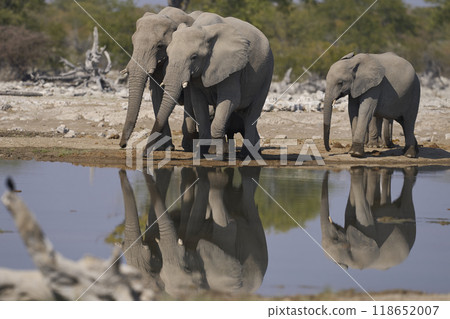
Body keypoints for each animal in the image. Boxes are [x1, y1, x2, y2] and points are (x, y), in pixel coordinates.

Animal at [149, 12, 274, 158]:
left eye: (194, 57)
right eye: (167, 55)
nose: (145, 154)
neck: (204, 30)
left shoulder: (232, 67)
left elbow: (231, 99)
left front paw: (218, 157)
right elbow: (198, 102)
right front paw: (201, 155)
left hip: (267, 73)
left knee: (252, 114)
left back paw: (246, 155)